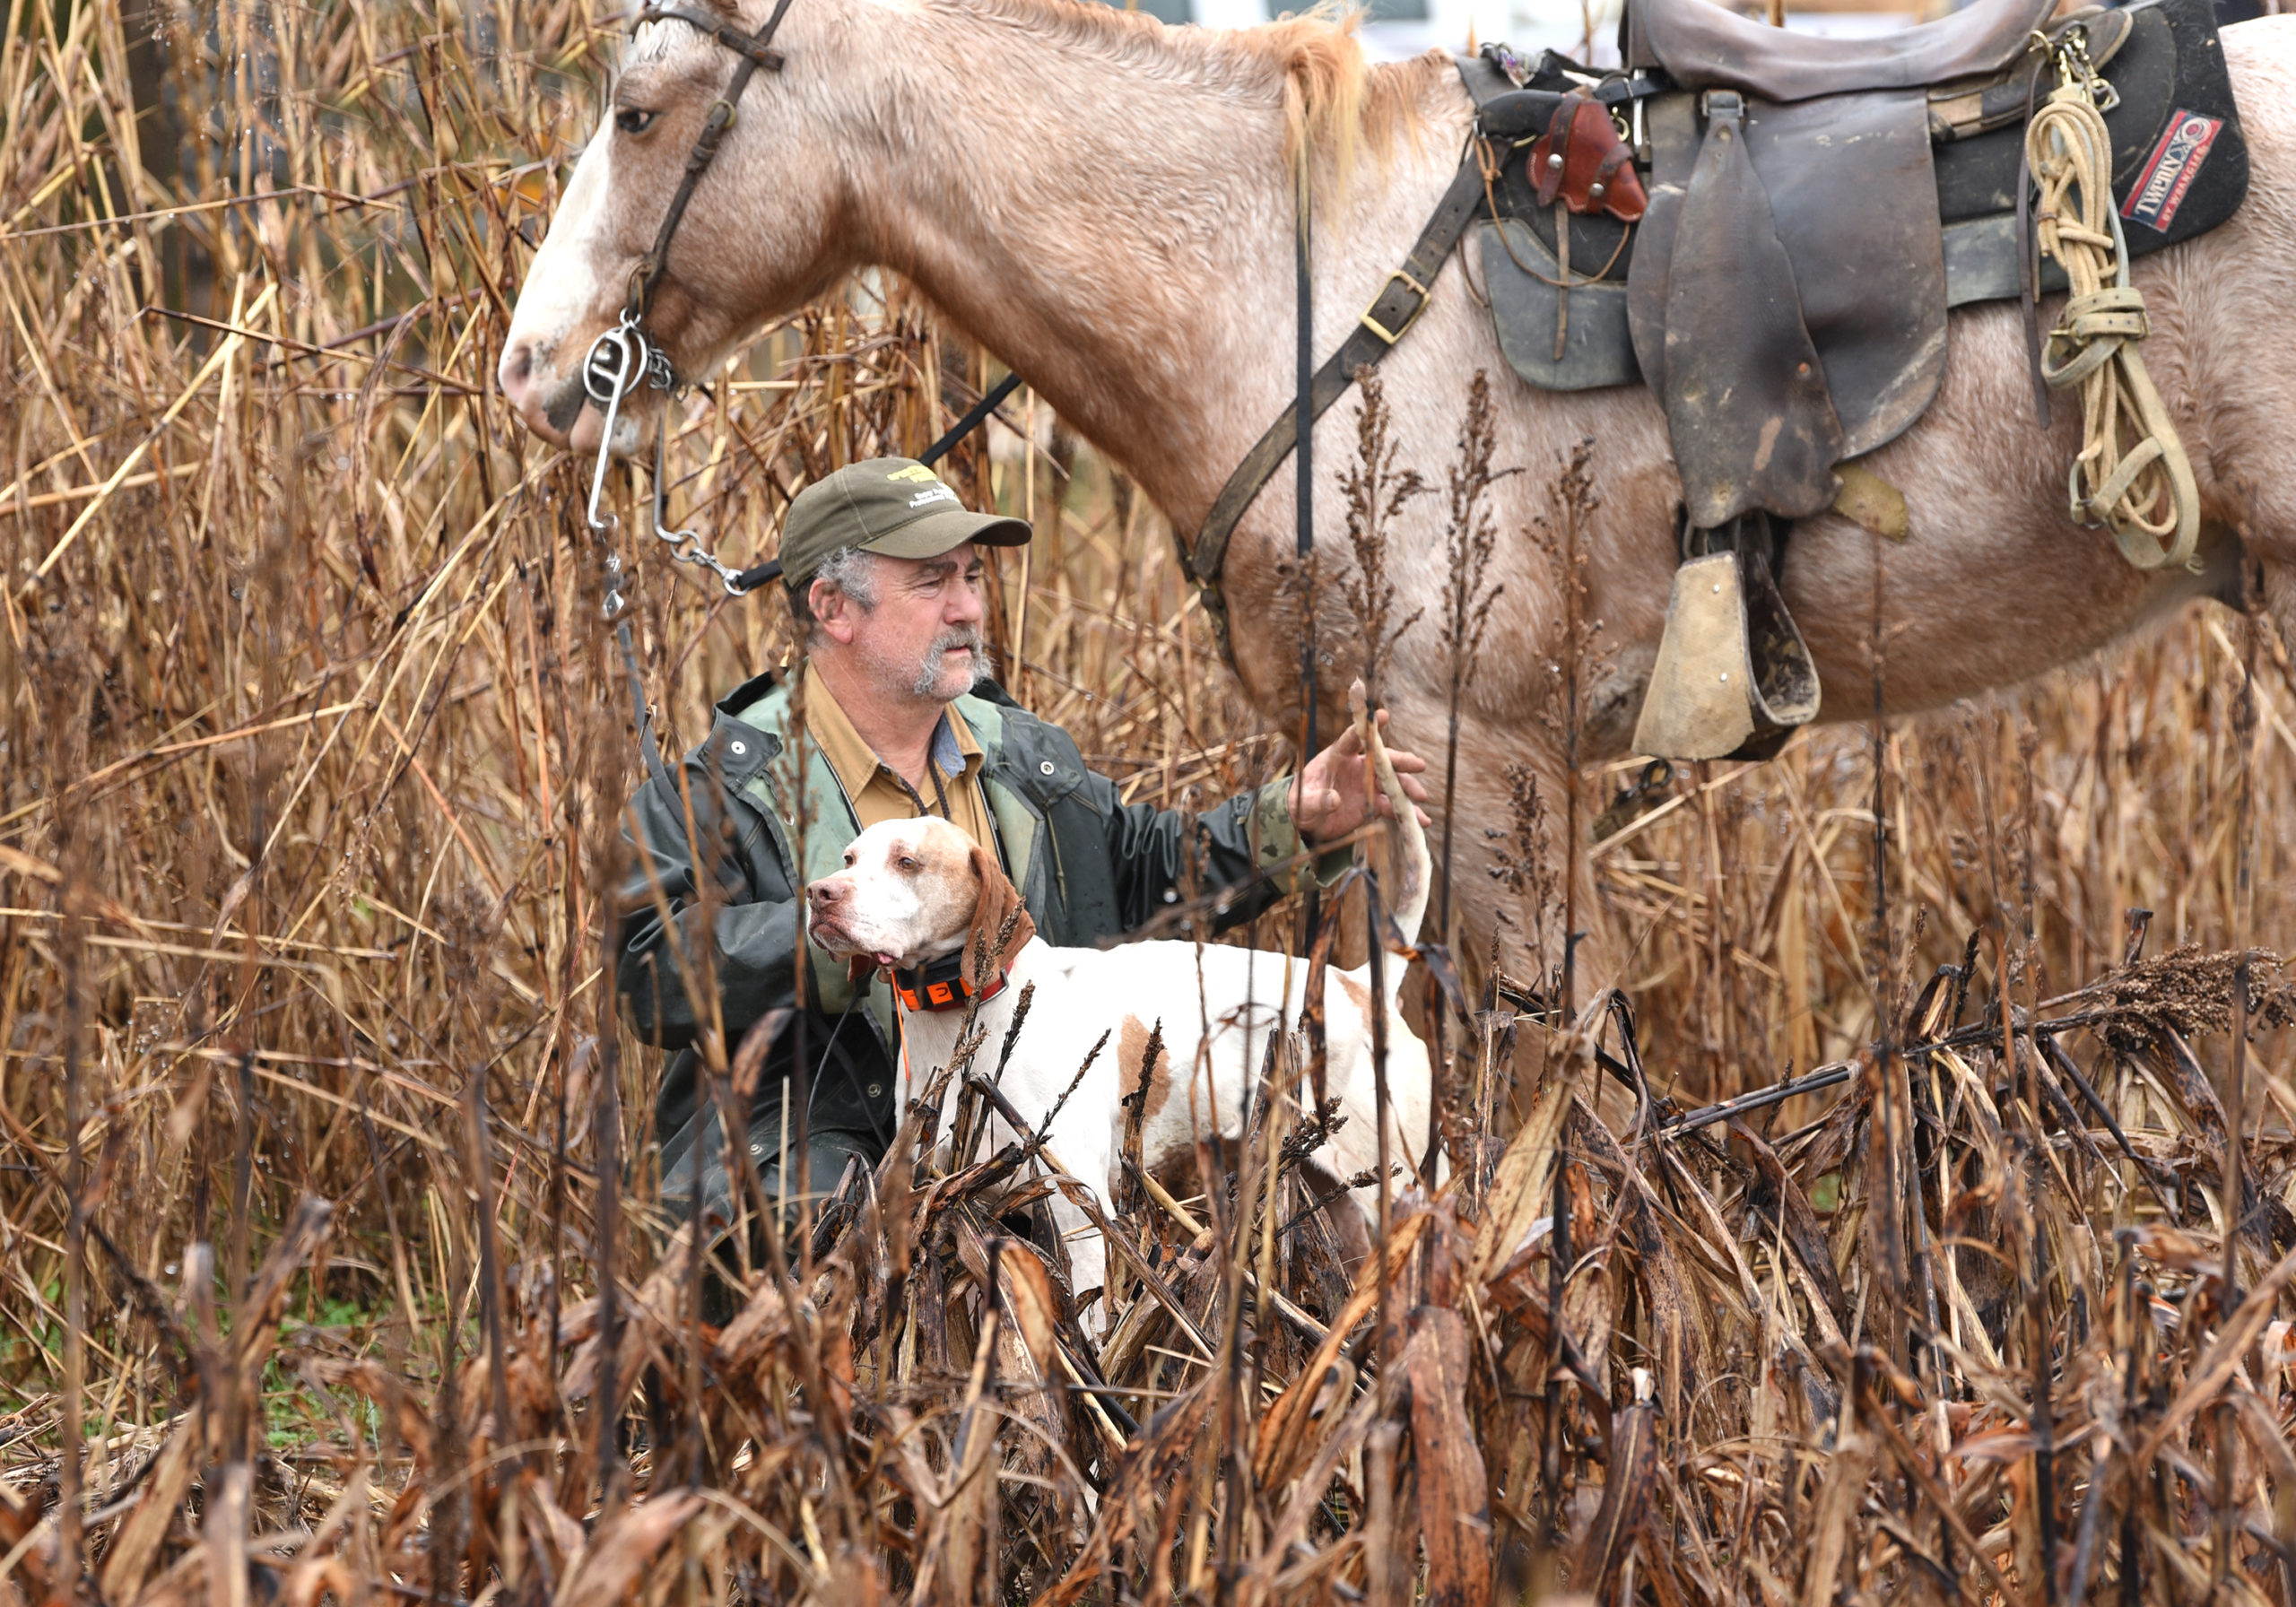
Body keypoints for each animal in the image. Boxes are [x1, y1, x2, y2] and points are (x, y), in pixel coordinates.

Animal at [798, 698, 1423, 1322]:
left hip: (1399, 1183)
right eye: (849, 857)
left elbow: (1090, 1315)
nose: (820, 894)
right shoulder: (958, 1203)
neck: (967, 1015)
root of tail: (1359, 982)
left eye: (907, 862)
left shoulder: (1078, 1212)